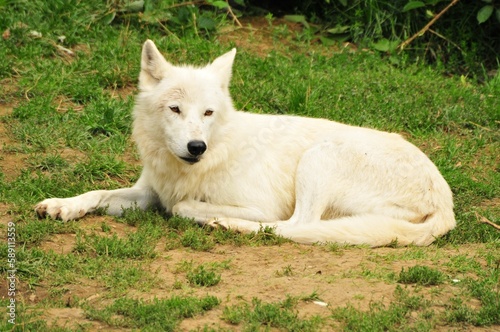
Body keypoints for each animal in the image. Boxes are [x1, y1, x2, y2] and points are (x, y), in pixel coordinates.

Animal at [35, 39, 458, 246]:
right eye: (175, 109)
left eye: (207, 113)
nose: (196, 147)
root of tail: (446, 206)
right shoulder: (148, 194)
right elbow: (97, 192)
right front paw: (61, 205)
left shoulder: (259, 205)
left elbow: (183, 206)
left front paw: (206, 214)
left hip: (319, 159)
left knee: (295, 226)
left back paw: (224, 225)